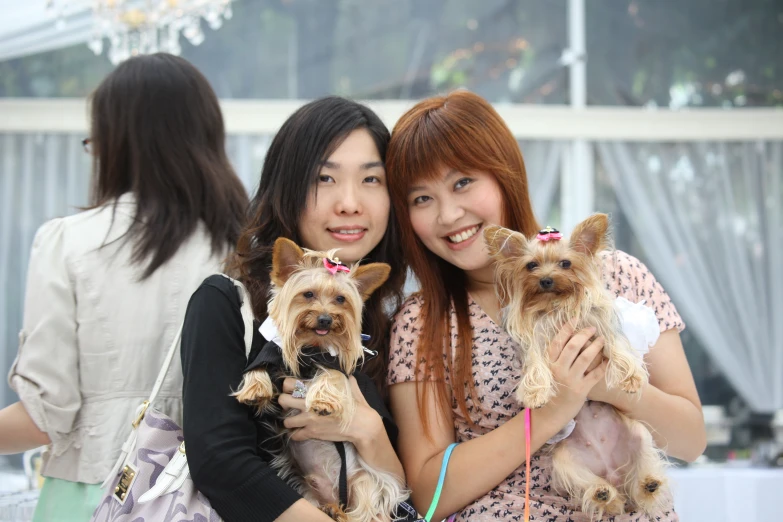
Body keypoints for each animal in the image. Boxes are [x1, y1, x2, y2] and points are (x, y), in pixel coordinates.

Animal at [233, 237, 408, 520]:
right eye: (308, 294)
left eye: (340, 299)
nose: (325, 318)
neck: (311, 347)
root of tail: (332, 495)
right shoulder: (274, 352)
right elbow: (258, 365)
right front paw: (254, 389)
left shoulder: (335, 365)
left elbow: (332, 376)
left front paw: (323, 402)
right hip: (303, 486)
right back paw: (331, 508)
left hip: (362, 481)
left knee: (363, 508)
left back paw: (341, 512)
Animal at [484, 214, 668, 516]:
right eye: (531, 265)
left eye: (565, 264)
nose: (546, 279)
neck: (556, 304)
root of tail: (613, 473)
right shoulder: (536, 339)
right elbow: (536, 364)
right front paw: (535, 394)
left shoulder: (599, 326)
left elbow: (617, 346)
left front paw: (630, 378)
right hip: (564, 459)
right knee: (593, 486)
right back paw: (603, 494)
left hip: (640, 435)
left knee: (642, 470)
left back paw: (649, 483)